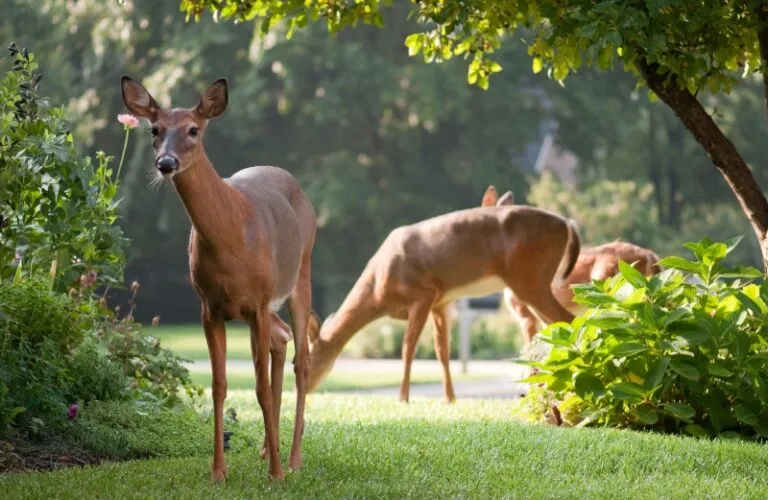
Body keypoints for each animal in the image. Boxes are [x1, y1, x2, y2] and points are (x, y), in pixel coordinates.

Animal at [119, 76, 316, 482]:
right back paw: (266, 448)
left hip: (299, 274)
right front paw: (218, 473)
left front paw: (275, 474)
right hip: (261, 306)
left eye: (194, 130)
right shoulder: (209, 307)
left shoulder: (258, 301)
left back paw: (292, 460)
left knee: (302, 359)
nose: (166, 163)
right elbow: (219, 386)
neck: (231, 238)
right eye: (154, 129)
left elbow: (259, 387)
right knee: (282, 339)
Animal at [306, 199, 584, 402]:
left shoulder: (423, 294)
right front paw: (450, 399)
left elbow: (408, 346)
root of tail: (567, 224)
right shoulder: (441, 302)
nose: (304, 389)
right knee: (554, 327)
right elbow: (443, 350)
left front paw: (403, 398)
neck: (376, 290)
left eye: (306, 359)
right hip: (532, 281)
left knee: (569, 319)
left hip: (529, 277)